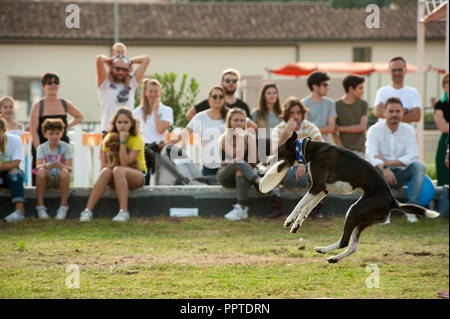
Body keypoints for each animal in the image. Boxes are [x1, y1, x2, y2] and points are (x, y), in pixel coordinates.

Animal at [264, 133, 440, 264]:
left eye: (278, 151)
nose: (266, 161)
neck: (310, 149)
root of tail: (392, 200)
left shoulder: (317, 187)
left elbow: (299, 204)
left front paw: (289, 220)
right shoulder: (322, 190)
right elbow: (306, 208)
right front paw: (297, 224)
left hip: (354, 211)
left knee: (345, 241)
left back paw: (327, 252)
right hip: (362, 219)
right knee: (353, 245)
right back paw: (331, 256)